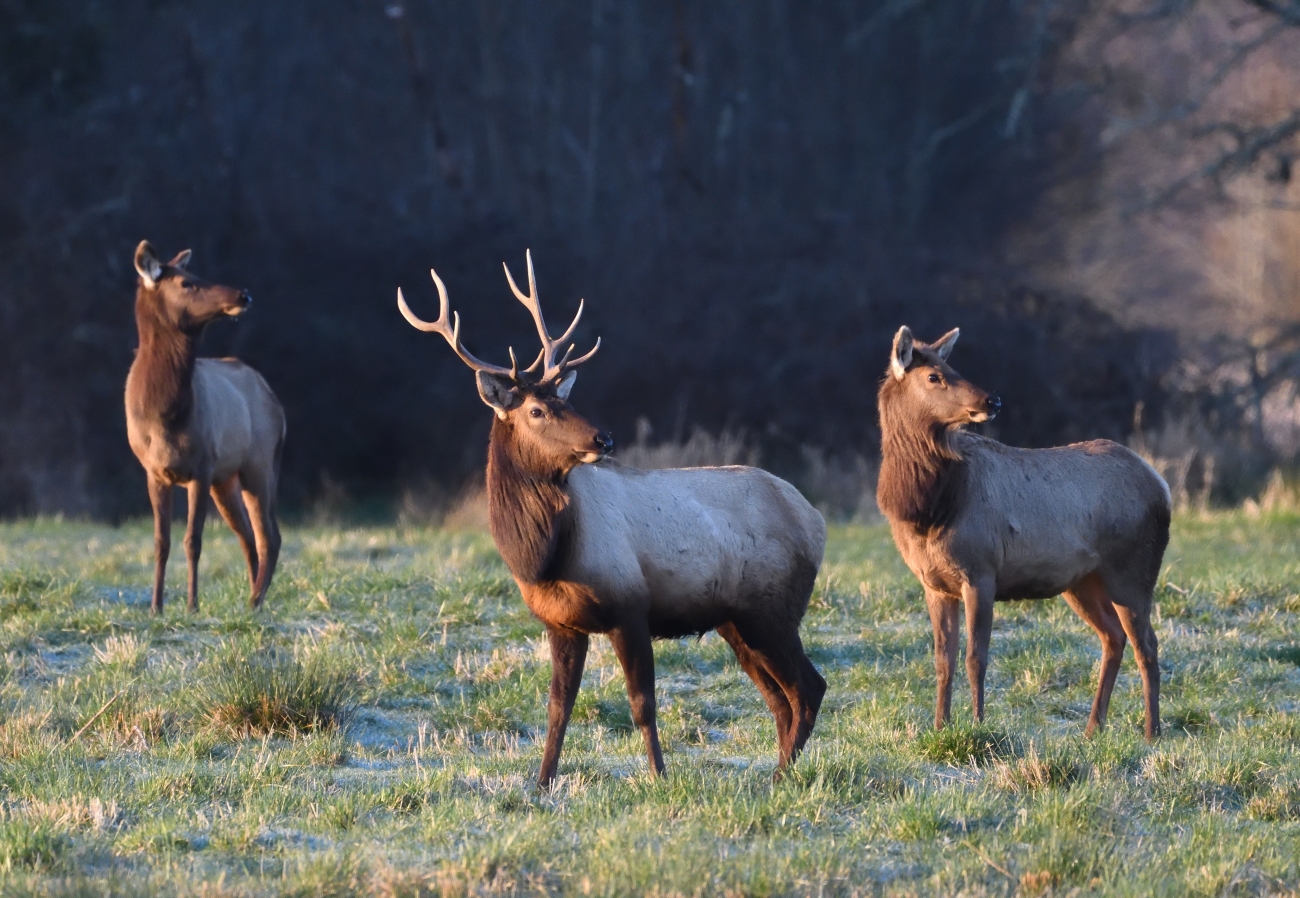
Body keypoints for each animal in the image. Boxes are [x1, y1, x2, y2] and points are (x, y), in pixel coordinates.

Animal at [124, 243, 287, 615]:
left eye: (195, 275)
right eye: (187, 283)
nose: (243, 294)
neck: (165, 416)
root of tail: (276, 402)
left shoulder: (201, 465)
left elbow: (193, 541)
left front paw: (192, 606)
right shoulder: (153, 471)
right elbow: (161, 541)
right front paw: (156, 607)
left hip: (260, 462)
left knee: (269, 535)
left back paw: (255, 601)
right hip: (225, 481)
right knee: (248, 536)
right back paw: (252, 597)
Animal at [395, 250, 826, 784]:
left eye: (567, 399)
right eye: (537, 410)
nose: (604, 438)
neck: (543, 558)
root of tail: (815, 520)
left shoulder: (630, 607)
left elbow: (642, 705)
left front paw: (660, 777)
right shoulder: (561, 623)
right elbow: (558, 707)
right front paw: (542, 783)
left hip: (771, 608)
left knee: (808, 689)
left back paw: (779, 779)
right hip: (736, 620)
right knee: (781, 699)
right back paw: (775, 774)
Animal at [878, 326, 1175, 743]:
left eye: (952, 367)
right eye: (934, 376)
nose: (992, 399)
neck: (929, 511)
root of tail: (1162, 486)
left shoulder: (981, 571)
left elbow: (975, 657)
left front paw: (978, 725)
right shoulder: (934, 584)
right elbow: (942, 660)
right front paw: (938, 726)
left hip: (1133, 571)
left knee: (1147, 644)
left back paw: (1151, 731)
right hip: (1082, 582)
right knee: (1113, 638)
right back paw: (1092, 727)